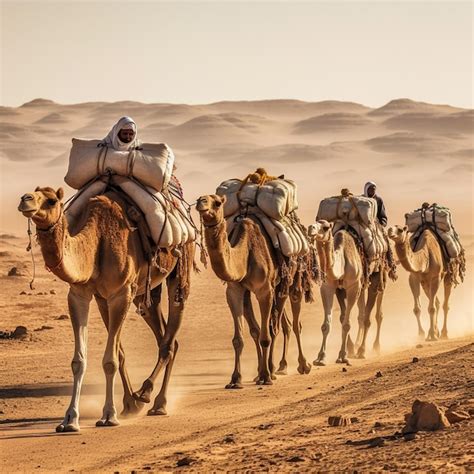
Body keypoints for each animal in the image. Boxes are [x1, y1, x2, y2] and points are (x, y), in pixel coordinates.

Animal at [17, 187, 193, 432]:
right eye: (33, 193)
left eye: (51, 200)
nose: (25, 200)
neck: (96, 242)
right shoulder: (82, 294)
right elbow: (84, 360)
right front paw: (70, 419)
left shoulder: (121, 293)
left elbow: (110, 360)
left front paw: (109, 415)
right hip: (142, 293)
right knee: (164, 335)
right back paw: (142, 400)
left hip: (181, 266)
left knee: (170, 334)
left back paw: (154, 399)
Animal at [194, 194, 312, 386]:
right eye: (200, 199)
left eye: (217, 203)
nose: (201, 202)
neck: (245, 253)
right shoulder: (235, 291)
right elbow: (243, 337)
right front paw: (237, 379)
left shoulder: (264, 290)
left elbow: (266, 336)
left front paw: (265, 376)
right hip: (278, 288)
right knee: (283, 323)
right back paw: (280, 366)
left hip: (294, 278)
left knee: (291, 323)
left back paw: (300, 366)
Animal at [310, 220, 386, 364]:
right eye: (315, 223)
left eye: (325, 227)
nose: (310, 229)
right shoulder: (330, 287)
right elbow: (330, 323)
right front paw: (321, 357)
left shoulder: (352, 287)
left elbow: (346, 324)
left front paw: (342, 355)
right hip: (361, 285)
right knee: (362, 314)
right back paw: (356, 346)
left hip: (378, 275)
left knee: (373, 314)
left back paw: (367, 349)